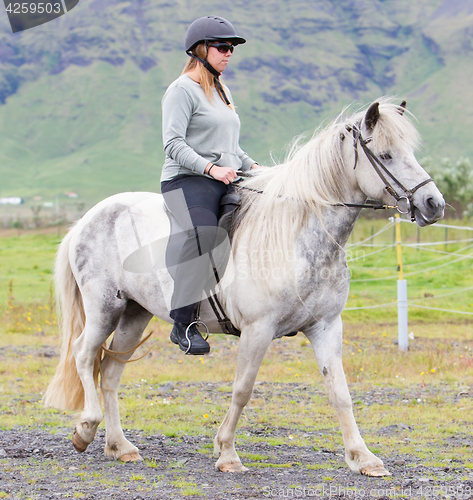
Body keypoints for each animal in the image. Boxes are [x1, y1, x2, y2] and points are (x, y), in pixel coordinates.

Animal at [42, 98, 444, 476]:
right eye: (386, 154)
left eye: (410, 151)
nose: (433, 203)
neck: (296, 234)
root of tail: (87, 219)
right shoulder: (257, 329)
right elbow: (242, 389)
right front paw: (227, 454)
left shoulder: (326, 326)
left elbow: (340, 392)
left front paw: (363, 458)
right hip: (104, 308)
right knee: (84, 355)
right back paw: (85, 429)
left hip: (135, 313)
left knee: (110, 372)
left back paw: (119, 447)